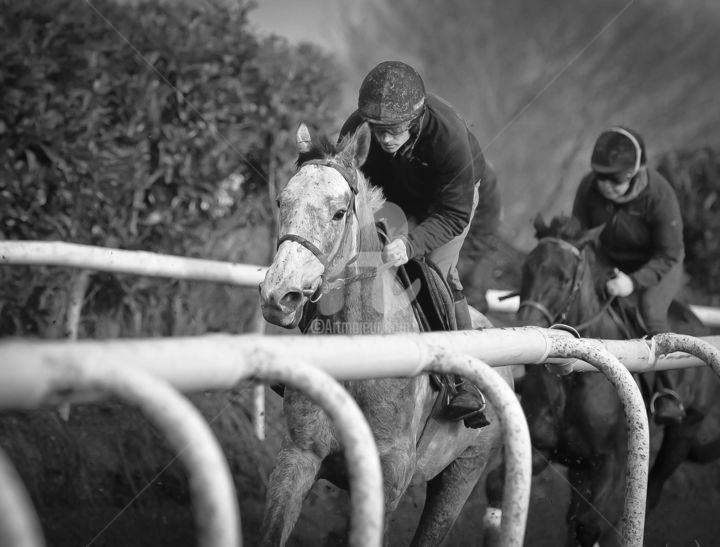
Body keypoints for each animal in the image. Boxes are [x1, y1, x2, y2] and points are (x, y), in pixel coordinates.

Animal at [258, 124, 512, 547]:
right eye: (282, 201)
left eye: (338, 212)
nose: (279, 294)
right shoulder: (298, 455)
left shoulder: (390, 477)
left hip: (463, 472)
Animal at [490, 214, 720, 547]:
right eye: (527, 268)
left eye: (563, 278)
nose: (524, 325)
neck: (576, 378)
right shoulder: (546, 448)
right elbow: (497, 487)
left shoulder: (609, 463)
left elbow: (589, 526)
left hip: (682, 433)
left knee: (651, 492)